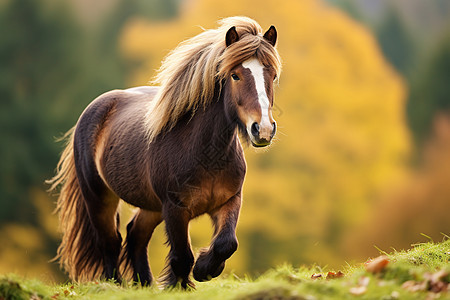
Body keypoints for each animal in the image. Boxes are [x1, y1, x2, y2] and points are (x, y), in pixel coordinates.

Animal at [48, 17, 282, 288]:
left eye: (273, 75)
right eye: (234, 75)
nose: (262, 129)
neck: (206, 155)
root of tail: (94, 108)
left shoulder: (229, 200)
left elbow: (227, 243)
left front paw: (205, 269)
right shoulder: (175, 209)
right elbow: (182, 256)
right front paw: (185, 282)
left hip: (151, 207)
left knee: (135, 235)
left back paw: (145, 284)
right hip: (99, 197)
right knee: (110, 242)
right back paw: (116, 283)